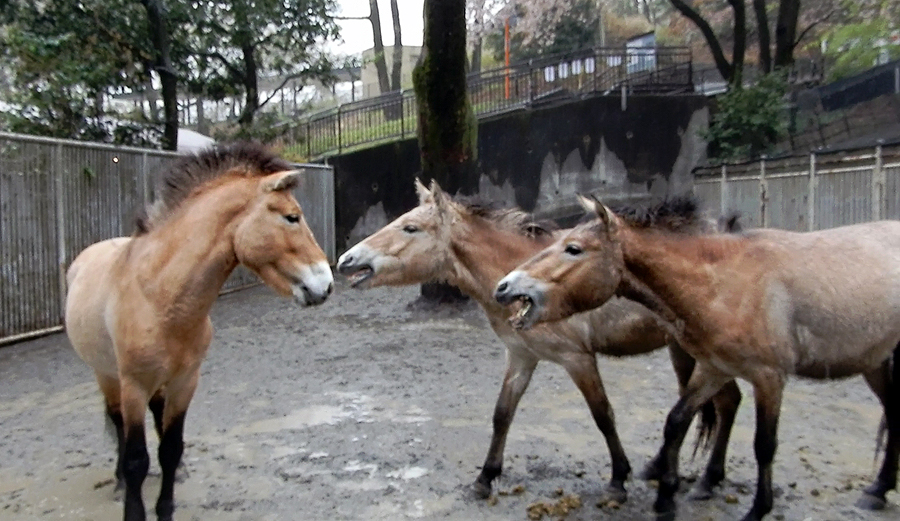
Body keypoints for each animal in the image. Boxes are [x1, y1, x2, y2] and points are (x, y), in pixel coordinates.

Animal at [64, 143, 334, 521]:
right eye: (291, 217)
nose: (325, 285)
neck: (159, 297)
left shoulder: (185, 381)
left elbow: (170, 448)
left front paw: (166, 505)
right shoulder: (134, 386)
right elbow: (136, 459)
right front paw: (134, 504)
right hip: (107, 375)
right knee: (117, 423)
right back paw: (117, 482)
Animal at [335, 179, 743, 504]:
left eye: (411, 227)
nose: (345, 260)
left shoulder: (578, 358)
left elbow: (603, 415)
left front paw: (617, 479)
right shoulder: (520, 357)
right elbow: (502, 414)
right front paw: (485, 478)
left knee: (720, 402)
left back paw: (704, 479)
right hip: (685, 350)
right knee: (721, 402)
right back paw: (690, 474)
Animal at [494, 194, 900, 521]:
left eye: (574, 248)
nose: (504, 286)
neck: (724, 284)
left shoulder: (770, 378)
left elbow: (764, 445)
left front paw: (757, 509)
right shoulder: (714, 369)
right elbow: (676, 420)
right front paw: (666, 498)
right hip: (876, 363)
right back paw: (878, 490)